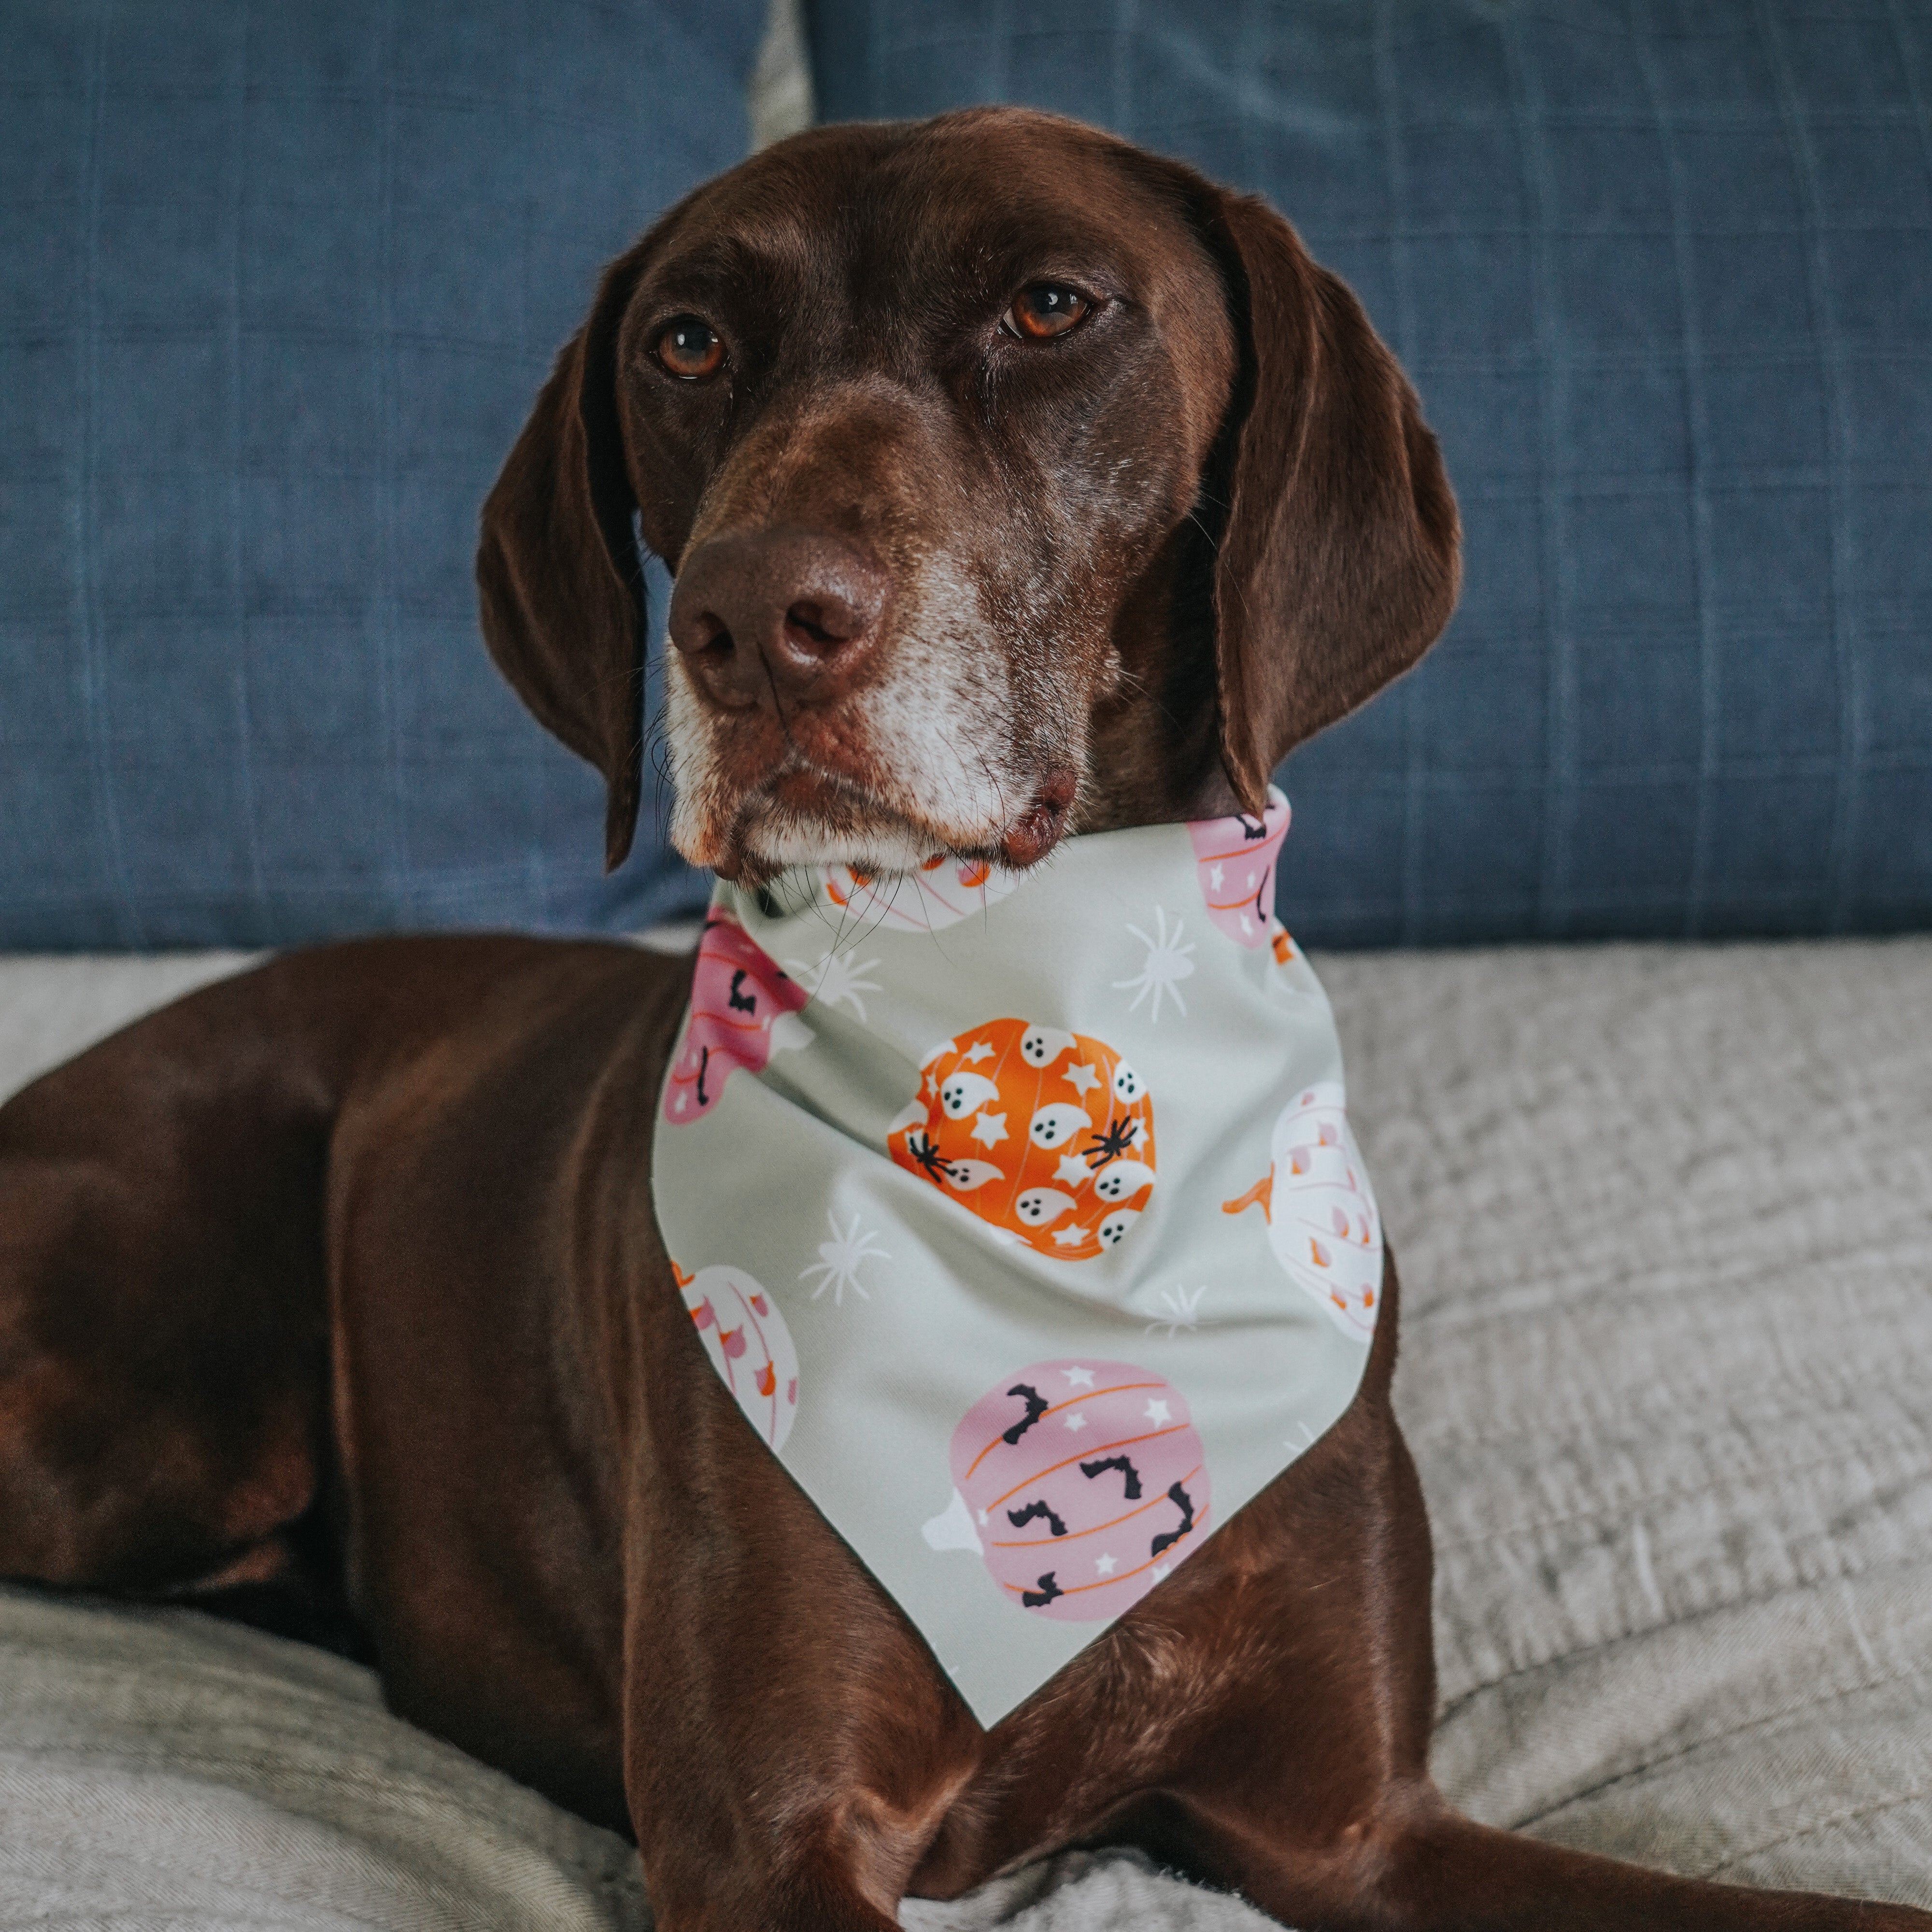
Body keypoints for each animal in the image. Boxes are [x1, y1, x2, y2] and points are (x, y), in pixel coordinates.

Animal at [0, 110, 1924, 1932]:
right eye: (687, 341)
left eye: (1049, 308)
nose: (752, 622)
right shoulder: (768, 1842)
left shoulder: (1360, 1830)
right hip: (157, 1423)